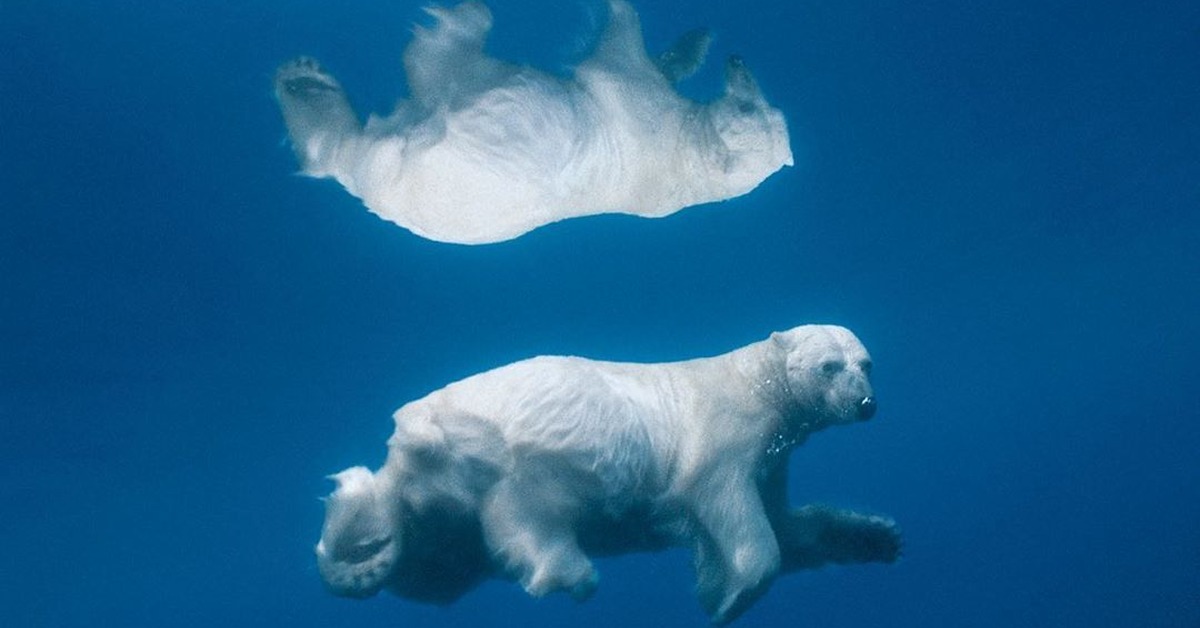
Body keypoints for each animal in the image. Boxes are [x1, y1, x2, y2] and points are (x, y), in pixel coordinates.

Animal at [274, 0, 792, 244]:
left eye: (749, 109)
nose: (738, 61)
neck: (686, 163)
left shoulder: (635, 105)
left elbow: (620, 41)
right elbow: (657, 59)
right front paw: (696, 42)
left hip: (418, 158)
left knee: (433, 68)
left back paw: (306, 78)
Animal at [314, 324, 897, 624]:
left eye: (866, 363)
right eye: (829, 366)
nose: (866, 404)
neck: (755, 383)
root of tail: (406, 447)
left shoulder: (774, 457)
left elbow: (790, 525)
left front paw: (876, 537)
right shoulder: (723, 435)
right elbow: (733, 512)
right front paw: (726, 599)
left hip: (441, 516)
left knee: (433, 564)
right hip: (519, 454)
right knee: (526, 513)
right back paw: (567, 571)